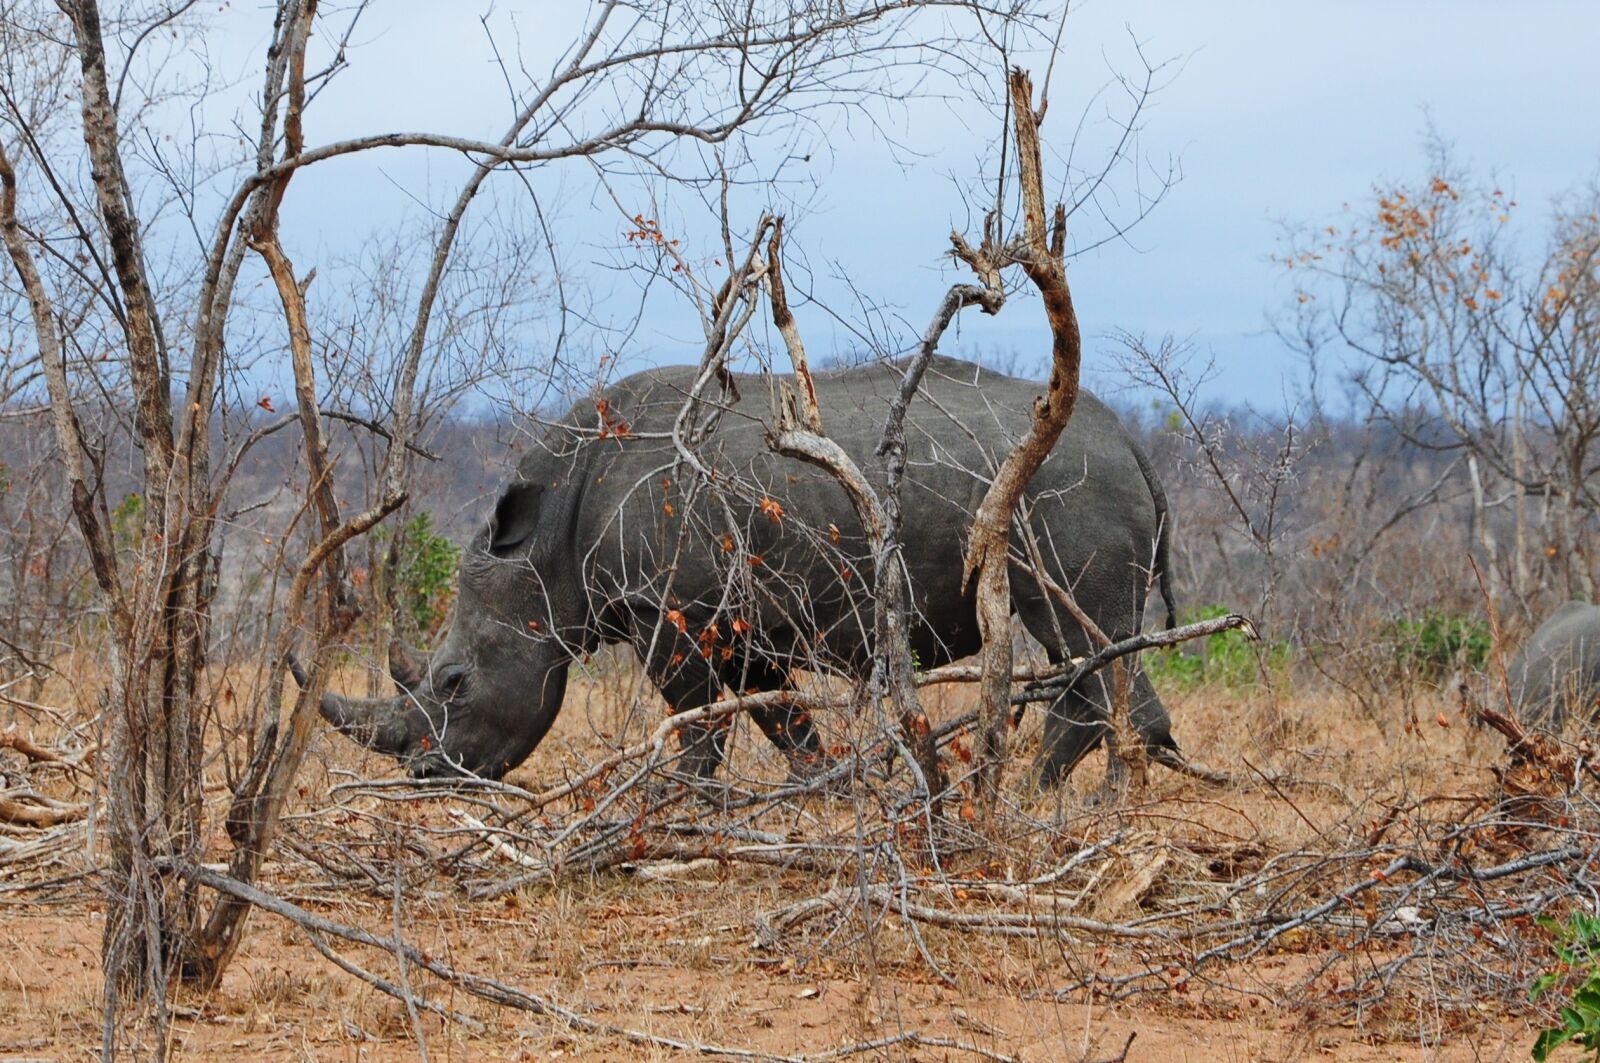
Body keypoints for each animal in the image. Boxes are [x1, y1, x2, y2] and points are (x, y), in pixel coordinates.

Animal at [315, 355, 1183, 787]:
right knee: (1088, 648)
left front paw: (682, 807)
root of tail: (1131, 443)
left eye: (454, 681)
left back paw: (1070, 810)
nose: (425, 772)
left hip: (1070, 492)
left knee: (1086, 641)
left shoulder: (669, 614)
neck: (545, 546)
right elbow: (784, 721)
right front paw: (825, 792)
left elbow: (698, 723)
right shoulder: (737, 620)